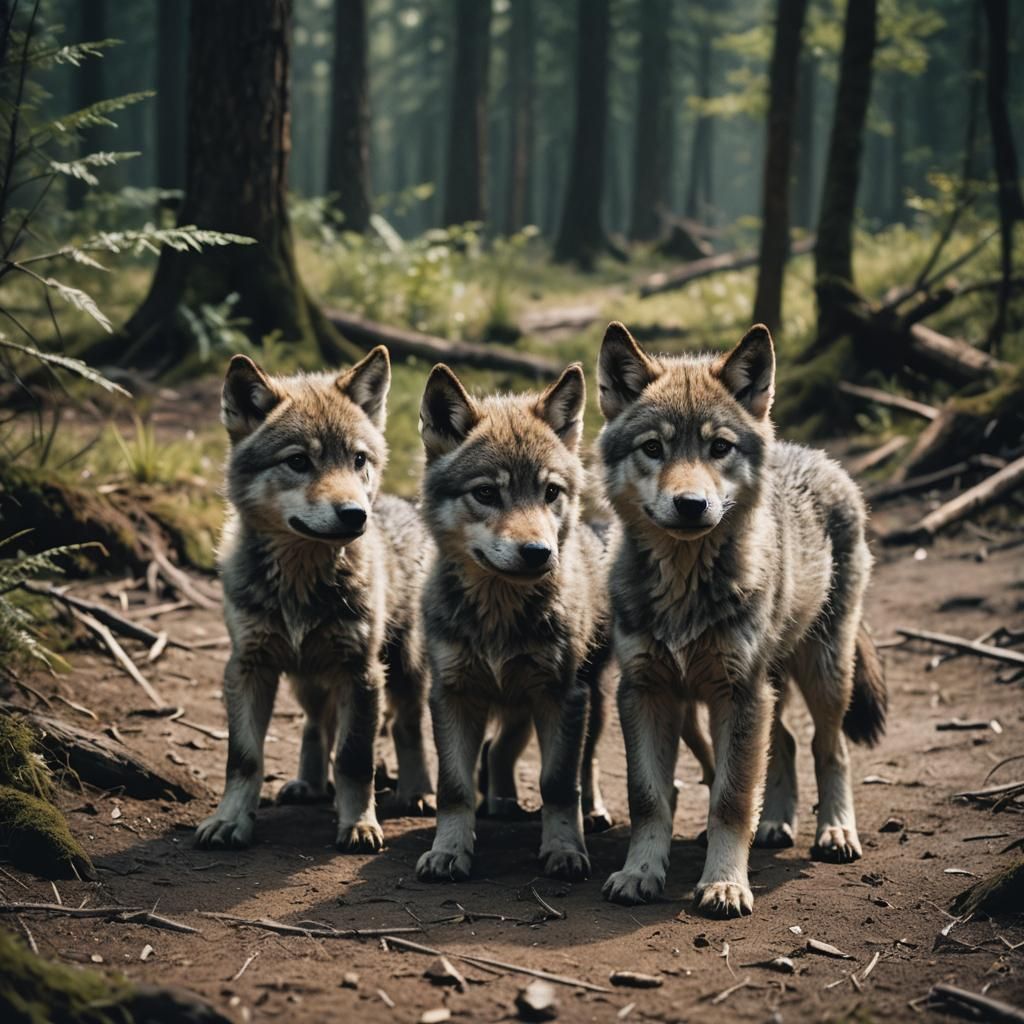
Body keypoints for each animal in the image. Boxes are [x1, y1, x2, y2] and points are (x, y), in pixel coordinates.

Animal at [195, 346, 434, 854]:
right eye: (299, 461)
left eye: (359, 459)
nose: (356, 514)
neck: (299, 584)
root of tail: (403, 505)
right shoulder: (247, 667)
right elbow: (244, 759)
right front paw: (229, 821)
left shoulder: (362, 673)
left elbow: (354, 759)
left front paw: (359, 824)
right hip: (307, 679)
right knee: (315, 724)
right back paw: (309, 784)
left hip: (403, 670)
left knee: (406, 727)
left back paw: (418, 792)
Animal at [414, 362, 613, 884]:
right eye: (486, 493)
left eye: (550, 492)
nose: (539, 553)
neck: (498, 617)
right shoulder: (452, 694)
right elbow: (455, 787)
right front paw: (449, 851)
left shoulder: (563, 696)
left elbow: (559, 783)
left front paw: (564, 850)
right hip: (515, 705)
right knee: (496, 751)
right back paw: (500, 803)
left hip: (587, 701)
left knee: (587, 763)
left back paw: (593, 812)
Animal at [596, 321, 886, 918]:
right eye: (653, 448)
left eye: (719, 448)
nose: (690, 504)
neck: (685, 586)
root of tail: (819, 456)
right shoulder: (645, 692)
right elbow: (648, 797)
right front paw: (640, 872)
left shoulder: (739, 693)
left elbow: (730, 799)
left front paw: (725, 884)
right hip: (744, 696)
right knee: (787, 745)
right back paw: (774, 824)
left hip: (821, 674)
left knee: (830, 747)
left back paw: (835, 833)